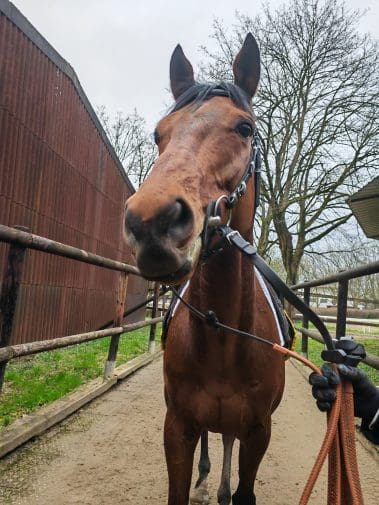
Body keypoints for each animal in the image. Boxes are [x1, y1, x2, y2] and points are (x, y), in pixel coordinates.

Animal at [124, 33, 284, 502]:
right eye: (158, 134)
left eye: (245, 128)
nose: (151, 222)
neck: (222, 335)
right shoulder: (178, 427)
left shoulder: (258, 433)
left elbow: (245, 485)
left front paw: (230, 489)